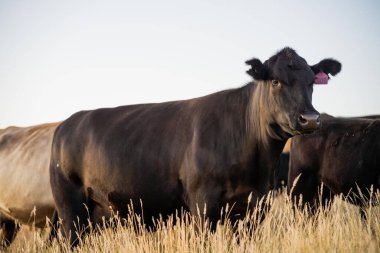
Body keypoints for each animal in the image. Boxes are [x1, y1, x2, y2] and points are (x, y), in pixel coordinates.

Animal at [49, 47, 340, 245]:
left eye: (312, 82)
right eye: (276, 81)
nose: (310, 119)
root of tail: (68, 123)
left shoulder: (256, 207)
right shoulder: (203, 206)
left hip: (98, 213)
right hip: (70, 208)